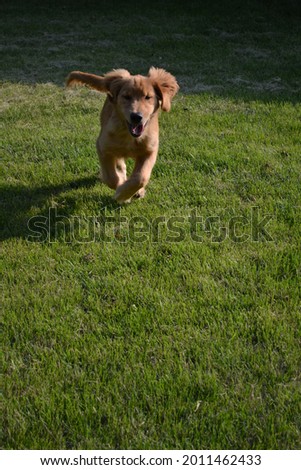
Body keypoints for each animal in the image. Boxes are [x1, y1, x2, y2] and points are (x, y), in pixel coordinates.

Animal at [66, 67, 178, 202]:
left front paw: (128, 192)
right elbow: (110, 177)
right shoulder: (103, 147)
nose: (136, 117)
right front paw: (120, 192)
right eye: (126, 97)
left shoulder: (149, 151)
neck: (129, 136)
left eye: (148, 97)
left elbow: (141, 177)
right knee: (120, 166)